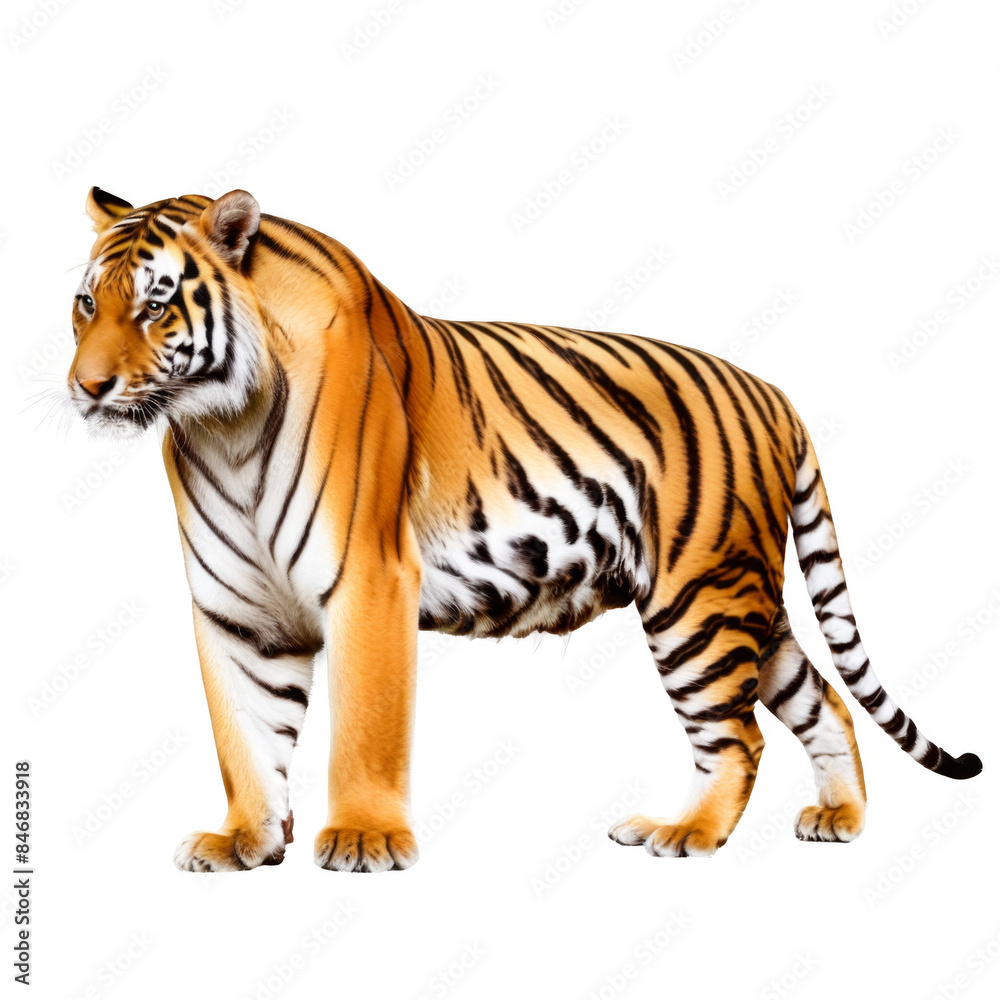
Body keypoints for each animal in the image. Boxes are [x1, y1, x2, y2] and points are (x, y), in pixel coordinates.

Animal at [65, 186, 982, 873]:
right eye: (86, 303)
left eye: (155, 306)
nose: (87, 386)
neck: (222, 426)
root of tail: (774, 393)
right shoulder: (239, 609)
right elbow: (247, 734)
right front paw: (244, 842)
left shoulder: (368, 579)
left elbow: (364, 724)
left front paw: (363, 839)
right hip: (747, 597)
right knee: (824, 701)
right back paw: (838, 821)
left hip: (699, 600)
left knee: (737, 737)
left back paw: (682, 833)